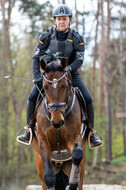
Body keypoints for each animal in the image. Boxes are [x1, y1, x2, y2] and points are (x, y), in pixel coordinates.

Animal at [32, 58, 86, 190]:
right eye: (45, 87)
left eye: (64, 86)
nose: (57, 121)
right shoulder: (43, 141)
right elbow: (49, 177)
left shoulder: (74, 138)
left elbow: (77, 154)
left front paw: (72, 184)